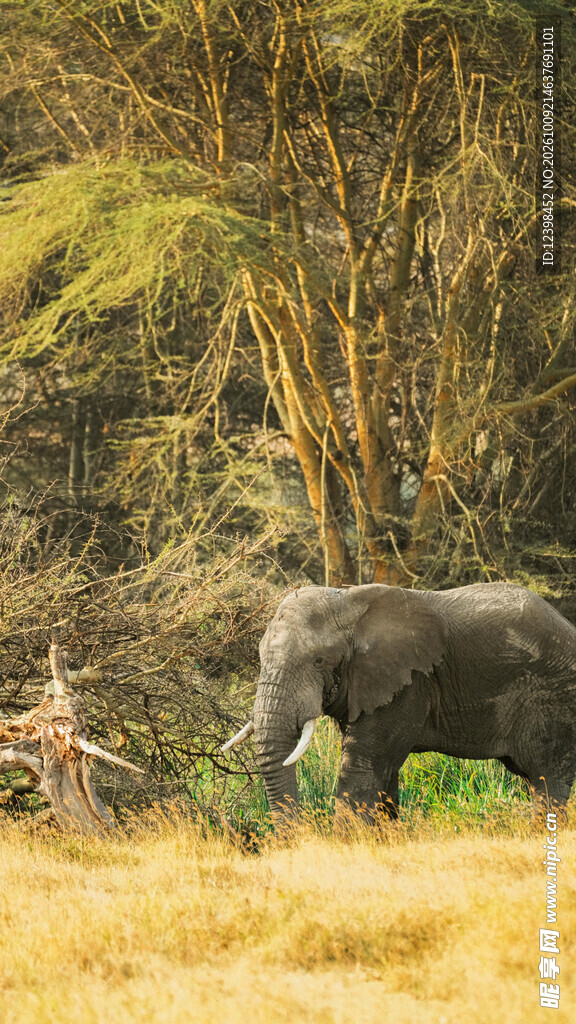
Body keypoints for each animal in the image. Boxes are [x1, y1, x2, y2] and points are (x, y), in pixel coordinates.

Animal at [222, 582, 576, 823]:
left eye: (319, 661)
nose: (299, 839)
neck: (347, 603)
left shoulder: (408, 684)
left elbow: (364, 765)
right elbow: (384, 774)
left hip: (554, 697)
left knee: (547, 780)